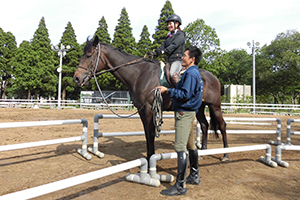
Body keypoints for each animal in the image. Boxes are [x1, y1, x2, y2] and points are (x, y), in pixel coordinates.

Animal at [74, 36, 229, 161]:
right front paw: (149, 156)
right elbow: (147, 133)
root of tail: (213, 77)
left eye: (88, 55)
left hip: (215, 106)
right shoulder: (142, 110)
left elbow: (151, 132)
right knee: (204, 125)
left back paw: (226, 155)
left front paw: (151, 158)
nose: (76, 78)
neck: (139, 74)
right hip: (199, 108)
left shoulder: (149, 109)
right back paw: (203, 152)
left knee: (222, 125)